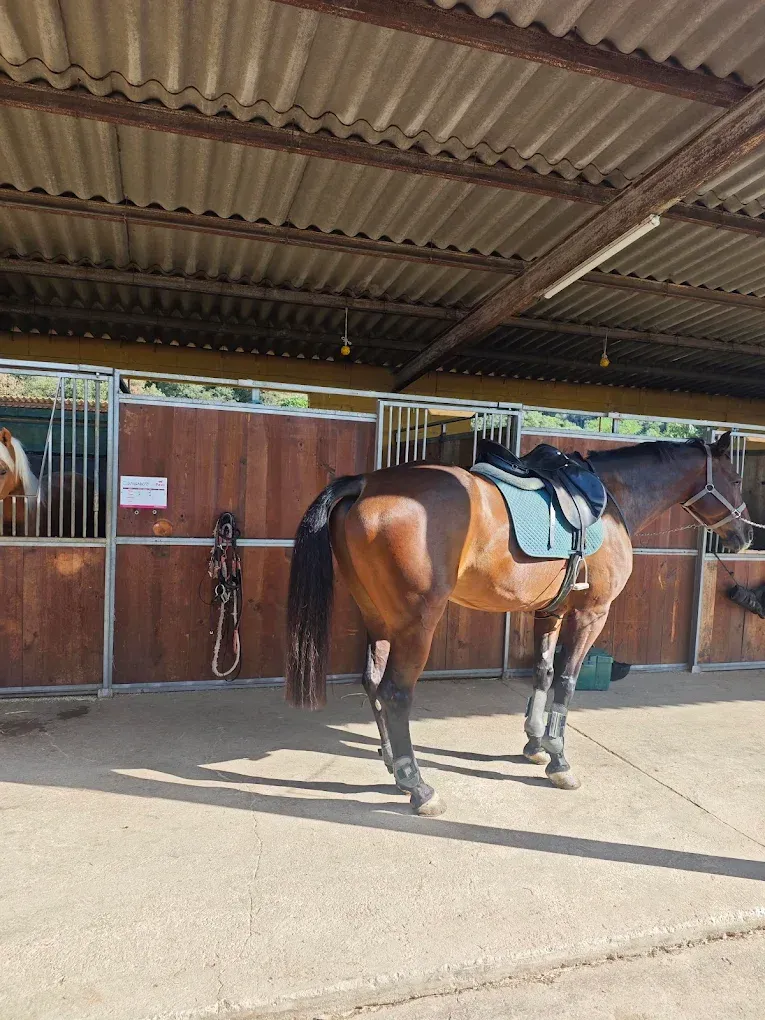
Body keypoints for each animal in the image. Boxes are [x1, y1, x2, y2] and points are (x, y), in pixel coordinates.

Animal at [285, 431, 752, 817]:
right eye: (735, 478)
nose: (746, 537)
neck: (611, 503)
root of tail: (366, 483)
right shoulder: (591, 614)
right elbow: (566, 680)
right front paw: (559, 761)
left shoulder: (551, 611)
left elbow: (543, 673)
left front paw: (534, 743)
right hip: (416, 623)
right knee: (394, 693)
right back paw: (418, 787)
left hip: (378, 617)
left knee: (372, 683)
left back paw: (392, 764)